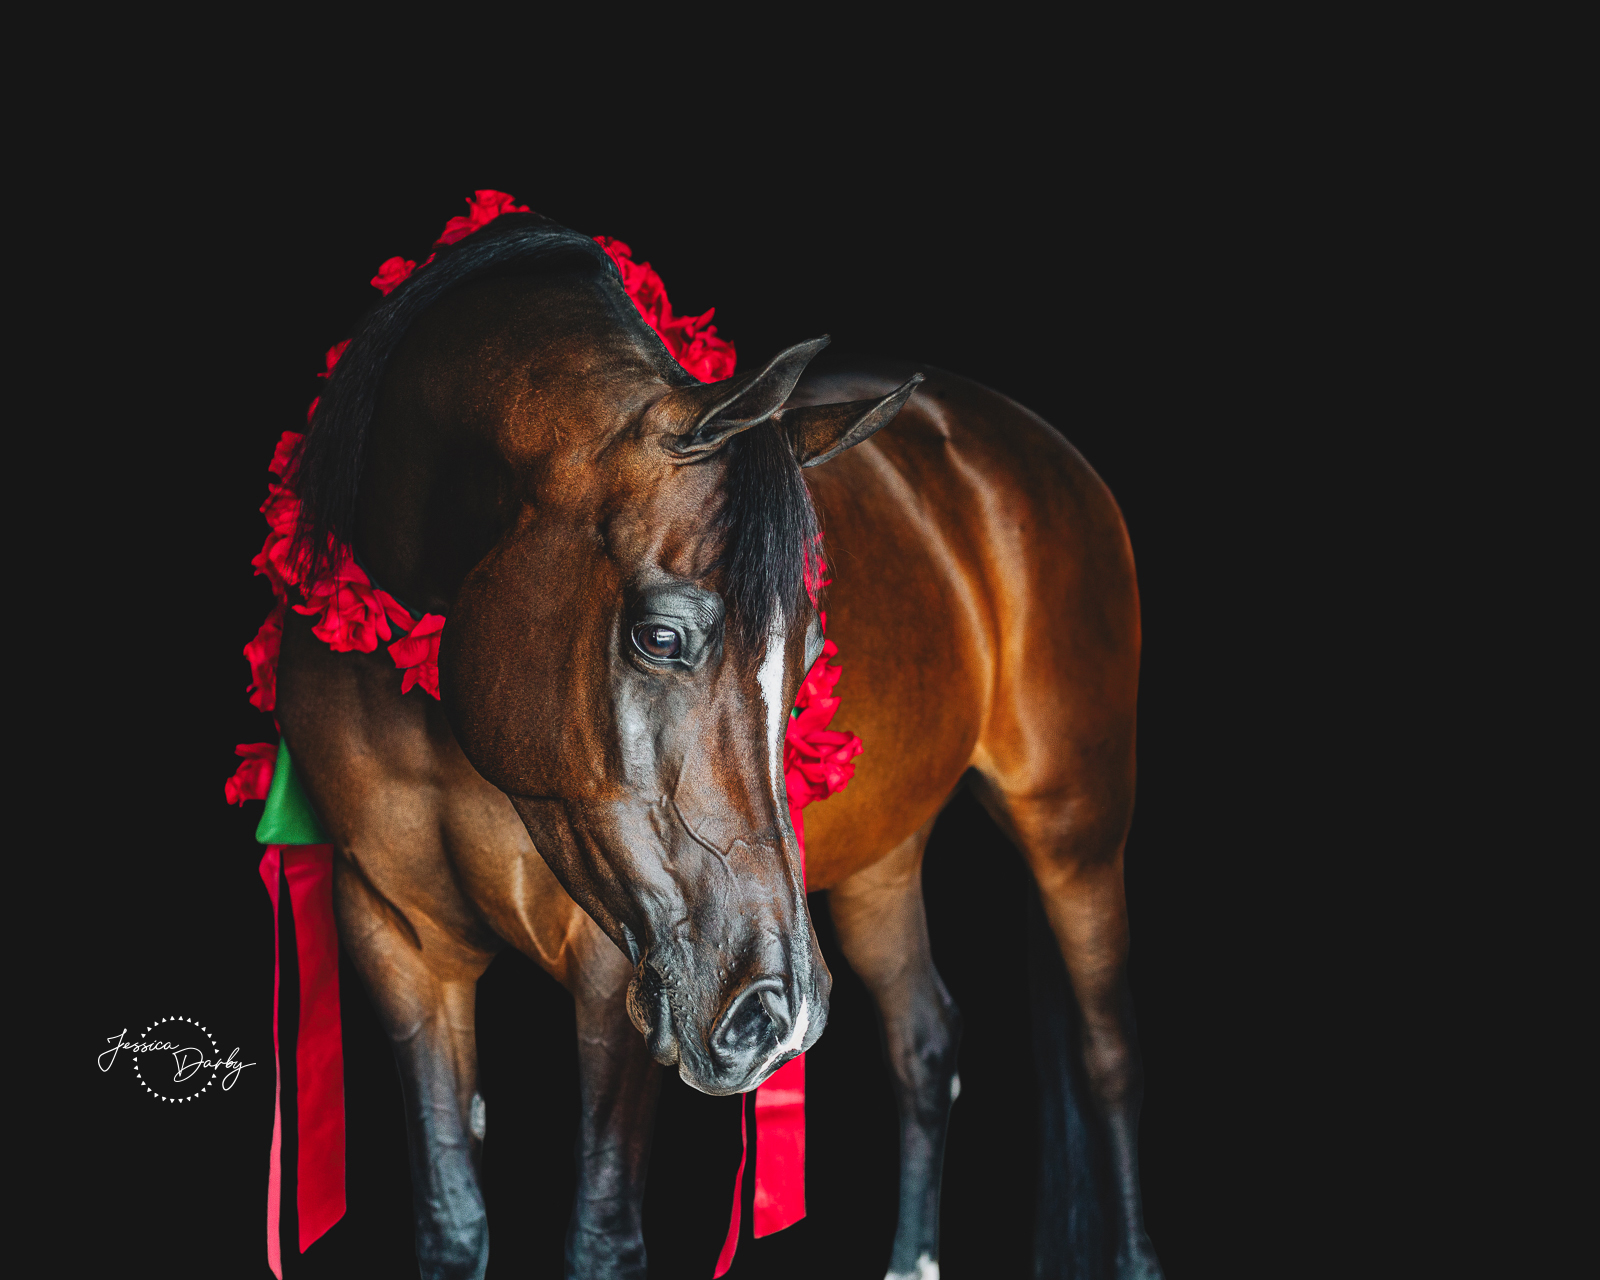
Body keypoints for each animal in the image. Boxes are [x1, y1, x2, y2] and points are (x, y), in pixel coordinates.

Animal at [278, 212, 1164, 1280]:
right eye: (661, 637)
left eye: (812, 654)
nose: (772, 1019)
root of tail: (1032, 446)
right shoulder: (401, 944)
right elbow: (452, 1222)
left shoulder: (616, 965)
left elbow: (601, 1234)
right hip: (882, 858)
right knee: (925, 1042)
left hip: (1077, 827)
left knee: (1110, 1055)